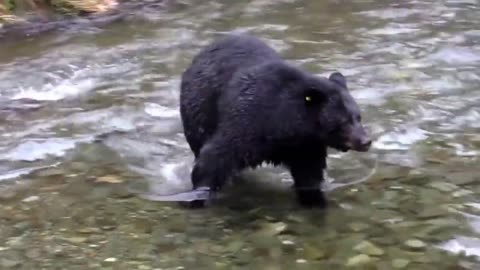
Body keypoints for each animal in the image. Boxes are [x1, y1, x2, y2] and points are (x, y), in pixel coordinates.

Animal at [180, 32, 372, 208]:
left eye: (358, 116)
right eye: (343, 121)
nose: (366, 141)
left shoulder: (306, 146)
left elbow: (309, 175)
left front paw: (313, 200)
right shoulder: (246, 122)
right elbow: (214, 159)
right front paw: (199, 195)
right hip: (198, 113)